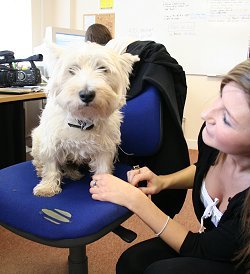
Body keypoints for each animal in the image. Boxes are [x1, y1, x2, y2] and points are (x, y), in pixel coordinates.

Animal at [31, 42, 139, 197]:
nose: (86, 94)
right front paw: (47, 187)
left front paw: (105, 185)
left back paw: (74, 174)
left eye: (103, 68)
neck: (82, 120)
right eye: (71, 69)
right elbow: (51, 166)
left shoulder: (105, 147)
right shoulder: (52, 143)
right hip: (37, 139)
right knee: (41, 161)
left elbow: (103, 167)